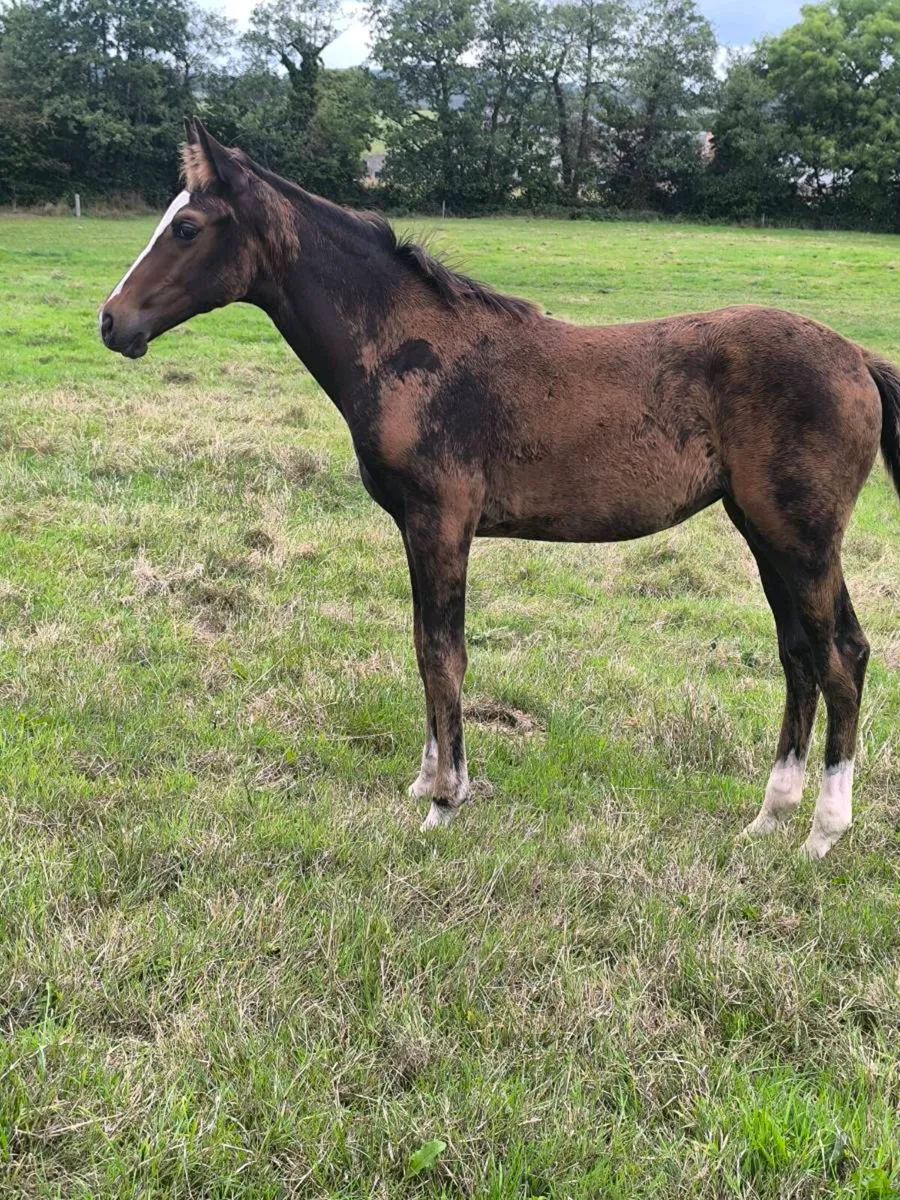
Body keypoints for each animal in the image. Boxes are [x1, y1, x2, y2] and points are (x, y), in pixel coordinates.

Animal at [99, 118, 900, 858]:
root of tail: (857, 358)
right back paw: (767, 817)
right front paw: (426, 779)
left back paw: (823, 831)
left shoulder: (442, 519)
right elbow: (423, 642)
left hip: (801, 537)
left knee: (841, 655)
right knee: (800, 654)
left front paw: (446, 802)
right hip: (762, 530)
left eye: (188, 227)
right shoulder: (416, 527)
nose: (112, 322)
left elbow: (443, 652)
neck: (411, 347)